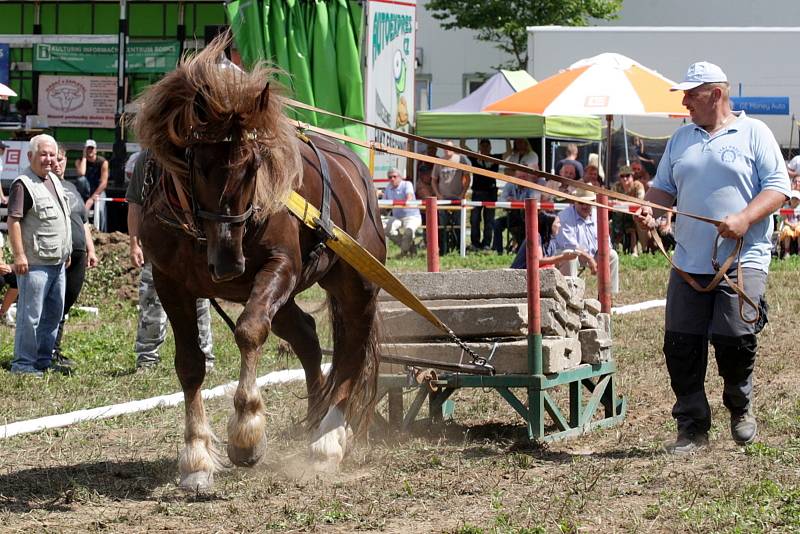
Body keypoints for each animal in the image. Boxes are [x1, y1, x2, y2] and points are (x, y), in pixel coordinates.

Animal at [134, 37, 384, 492]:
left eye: (255, 164)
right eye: (198, 164)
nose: (229, 261)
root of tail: (356, 170)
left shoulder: (279, 266)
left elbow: (249, 331)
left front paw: (247, 431)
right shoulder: (169, 282)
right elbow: (190, 365)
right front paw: (196, 457)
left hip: (354, 285)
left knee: (352, 351)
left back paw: (328, 440)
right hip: (280, 299)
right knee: (306, 336)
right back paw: (315, 420)